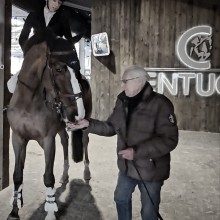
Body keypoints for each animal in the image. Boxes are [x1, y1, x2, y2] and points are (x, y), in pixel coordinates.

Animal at [6, 31, 92, 220]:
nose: (78, 113)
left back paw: (87, 172)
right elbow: (17, 175)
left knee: (84, 142)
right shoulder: (18, 138)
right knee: (65, 141)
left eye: (77, 70)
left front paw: (51, 211)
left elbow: (48, 177)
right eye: (59, 69)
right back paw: (65, 176)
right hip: (62, 126)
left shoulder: (47, 140)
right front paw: (14, 211)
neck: (29, 102)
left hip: (84, 125)